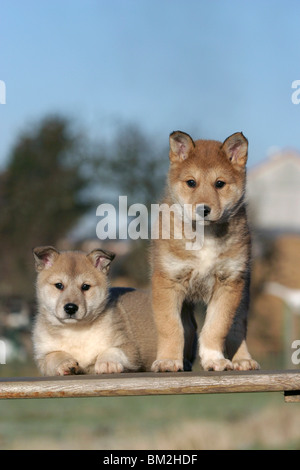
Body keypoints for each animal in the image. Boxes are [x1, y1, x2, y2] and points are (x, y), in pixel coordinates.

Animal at [151, 130, 258, 372]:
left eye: (220, 183)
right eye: (191, 182)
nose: (203, 209)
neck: (205, 236)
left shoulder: (229, 283)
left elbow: (217, 327)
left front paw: (214, 360)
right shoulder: (168, 281)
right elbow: (171, 327)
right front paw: (168, 360)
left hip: (243, 294)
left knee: (238, 328)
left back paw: (243, 359)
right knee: (188, 327)